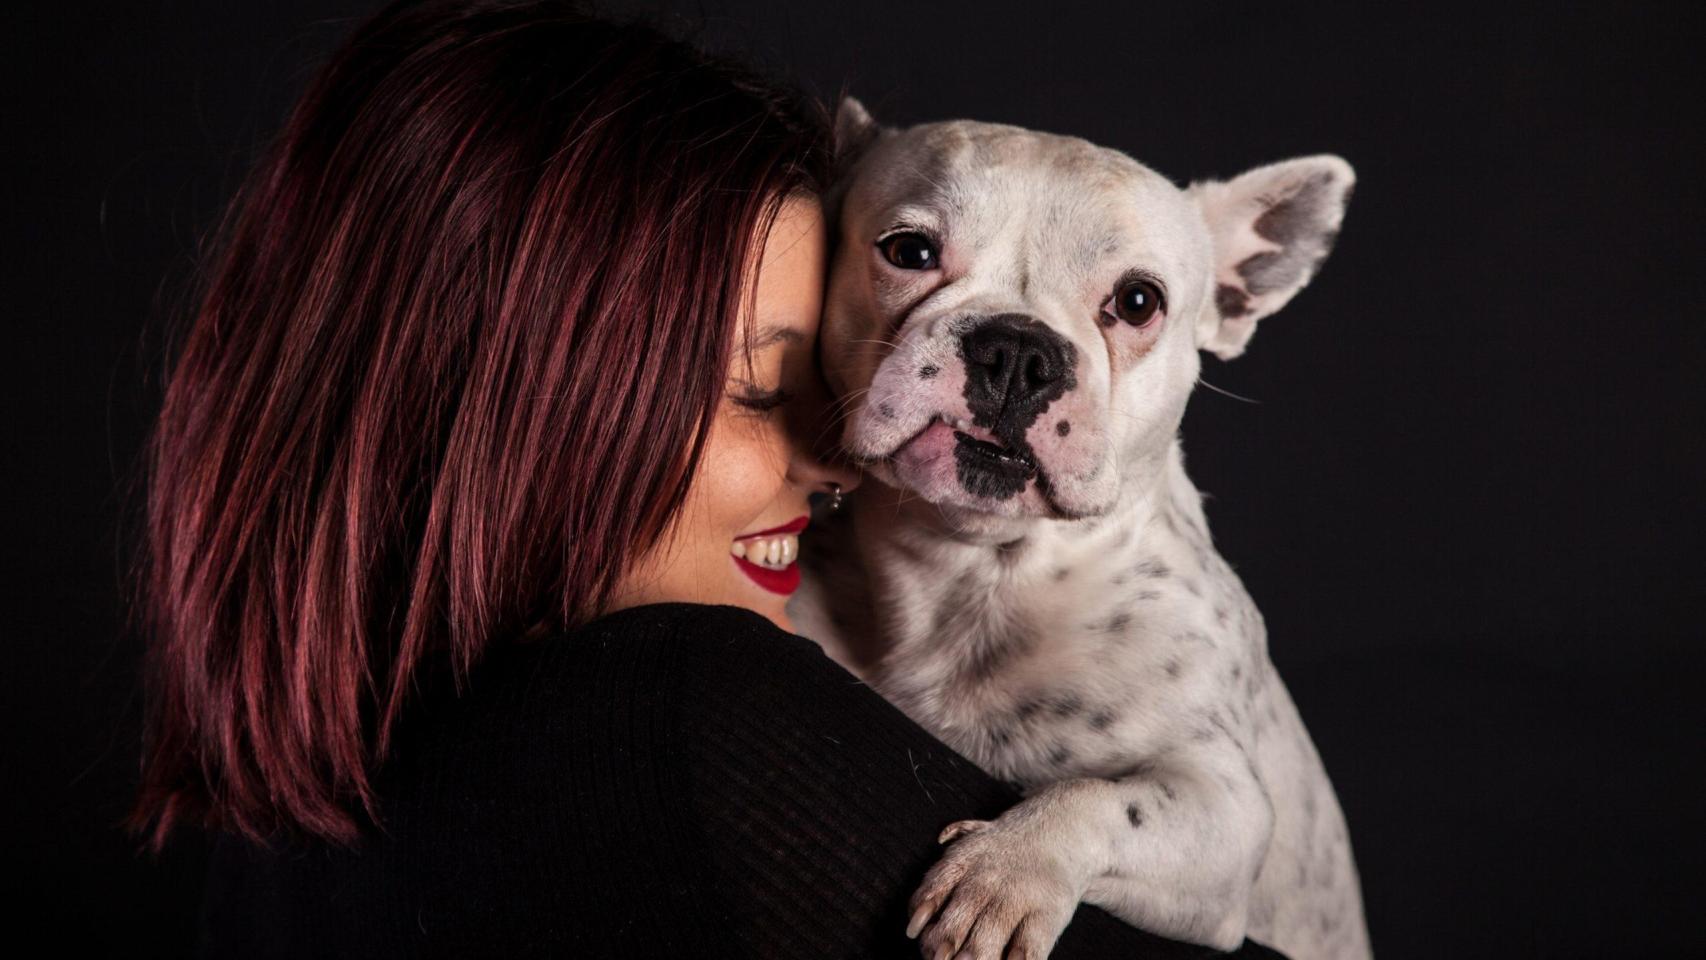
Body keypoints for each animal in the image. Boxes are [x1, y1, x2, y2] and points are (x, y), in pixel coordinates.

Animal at [788, 99, 1371, 960]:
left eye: (1138, 302)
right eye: (909, 251)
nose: (1016, 348)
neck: (976, 569)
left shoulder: (1223, 807)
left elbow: (1102, 798)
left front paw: (1004, 872)